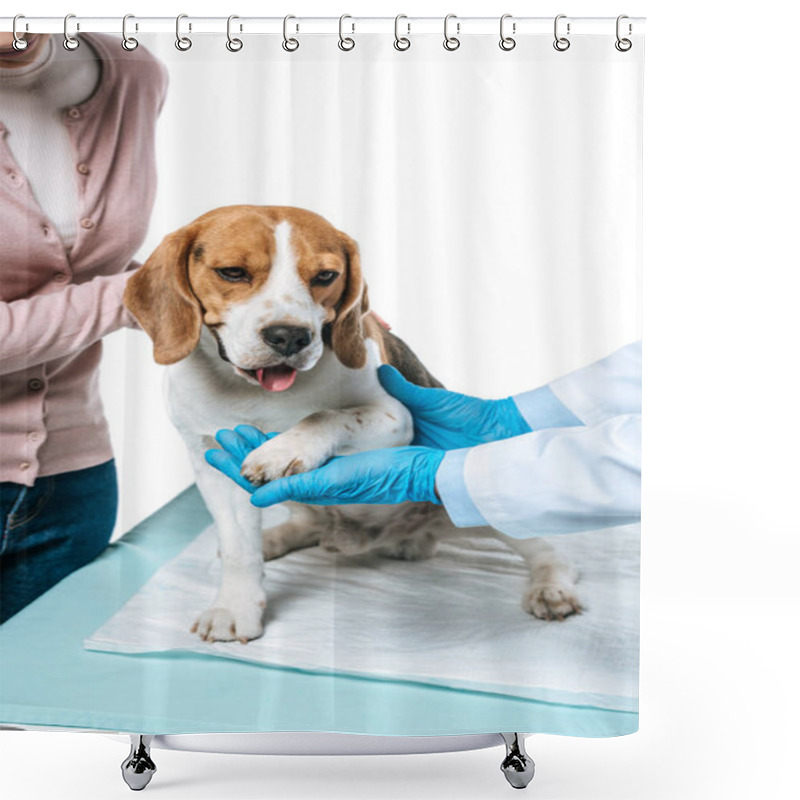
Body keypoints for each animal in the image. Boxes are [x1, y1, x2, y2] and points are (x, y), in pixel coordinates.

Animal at [123, 206, 580, 644]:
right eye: (233, 272)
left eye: (325, 276)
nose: (290, 336)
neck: (256, 392)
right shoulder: (210, 459)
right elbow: (238, 549)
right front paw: (235, 608)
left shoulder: (396, 418)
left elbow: (325, 415)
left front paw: (284, 448)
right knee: (306, 524)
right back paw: (277, 539)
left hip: (479, 496)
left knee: (546, 546)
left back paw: (551, 586)